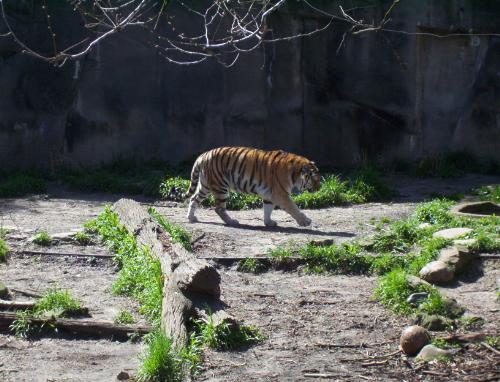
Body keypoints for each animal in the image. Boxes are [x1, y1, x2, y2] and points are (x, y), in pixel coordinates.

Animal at [184, 147, 320, 227]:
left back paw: (191, 217)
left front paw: (268, 222)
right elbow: (293, 208)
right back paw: (231, 222)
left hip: (206, 186)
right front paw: (305, 221)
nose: (319, 188)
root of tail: (203, 155)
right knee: (219, 208)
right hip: (220, 187)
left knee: (194, 198)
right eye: (314, 178)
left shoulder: (269, 194)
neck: (295, 173)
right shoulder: (281, 194)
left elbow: (268, 209)